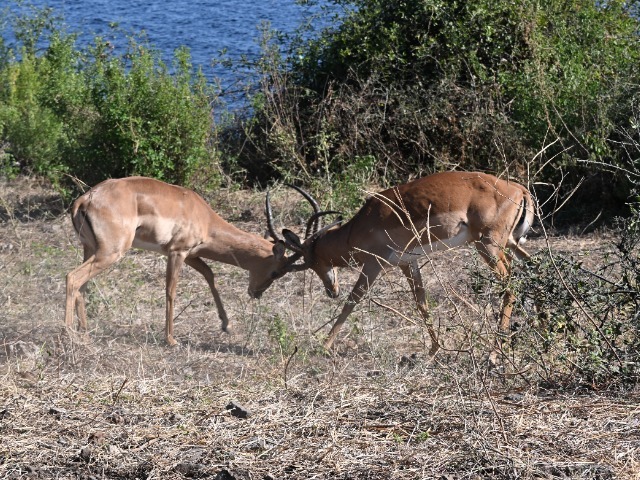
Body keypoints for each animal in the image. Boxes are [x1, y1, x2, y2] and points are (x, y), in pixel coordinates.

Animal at [65, 176, 299, 346]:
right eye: (276, 272)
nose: (256, 293)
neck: (204, 217)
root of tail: (85, 199)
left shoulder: (191, 255)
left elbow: (210, 275)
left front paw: (227, 325)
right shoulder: (177, 252)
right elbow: (171, 290)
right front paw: (171, 339)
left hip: (91, 250)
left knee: (82, 286)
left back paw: (84, 334)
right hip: (110, 253)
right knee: (72, 277)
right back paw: (69, 335)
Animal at [266, 171, 535, 358]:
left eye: (312, 261)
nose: (331, 291)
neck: (357, 229)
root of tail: (518, 189)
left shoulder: (373, 265)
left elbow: (352, 301)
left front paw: (323, 346)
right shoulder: (408, 262)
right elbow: (421, 303)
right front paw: (434, 350)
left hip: (488, 246)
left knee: (510, 287)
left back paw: (493, 355)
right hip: (509, 243)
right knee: (533, 268)